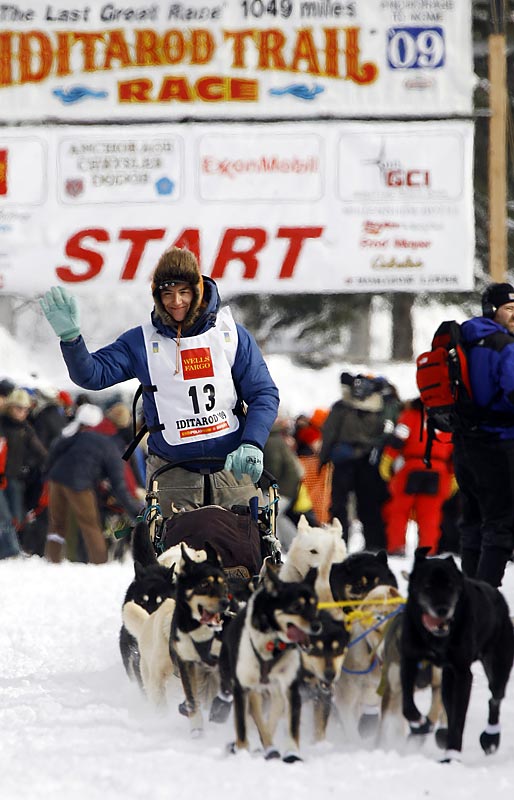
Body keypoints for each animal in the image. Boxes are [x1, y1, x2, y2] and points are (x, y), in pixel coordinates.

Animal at [170, 540, 228, 736]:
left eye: (224, 584)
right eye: (204, 584)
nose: (225, 602)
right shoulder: (186, 662)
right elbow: (192, 699)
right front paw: (196, 730)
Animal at [217, 564, 320, 764]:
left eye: (315, 604)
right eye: (296, 606)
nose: (317, 626)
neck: (273, 645)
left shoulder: (290, 687)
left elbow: (292, 725)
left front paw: (292, 753)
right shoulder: (241, 687)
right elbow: (242, 725)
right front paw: (242, 752)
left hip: (274, 691)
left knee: (270, 715)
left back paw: (269, 747)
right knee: (255, 714)